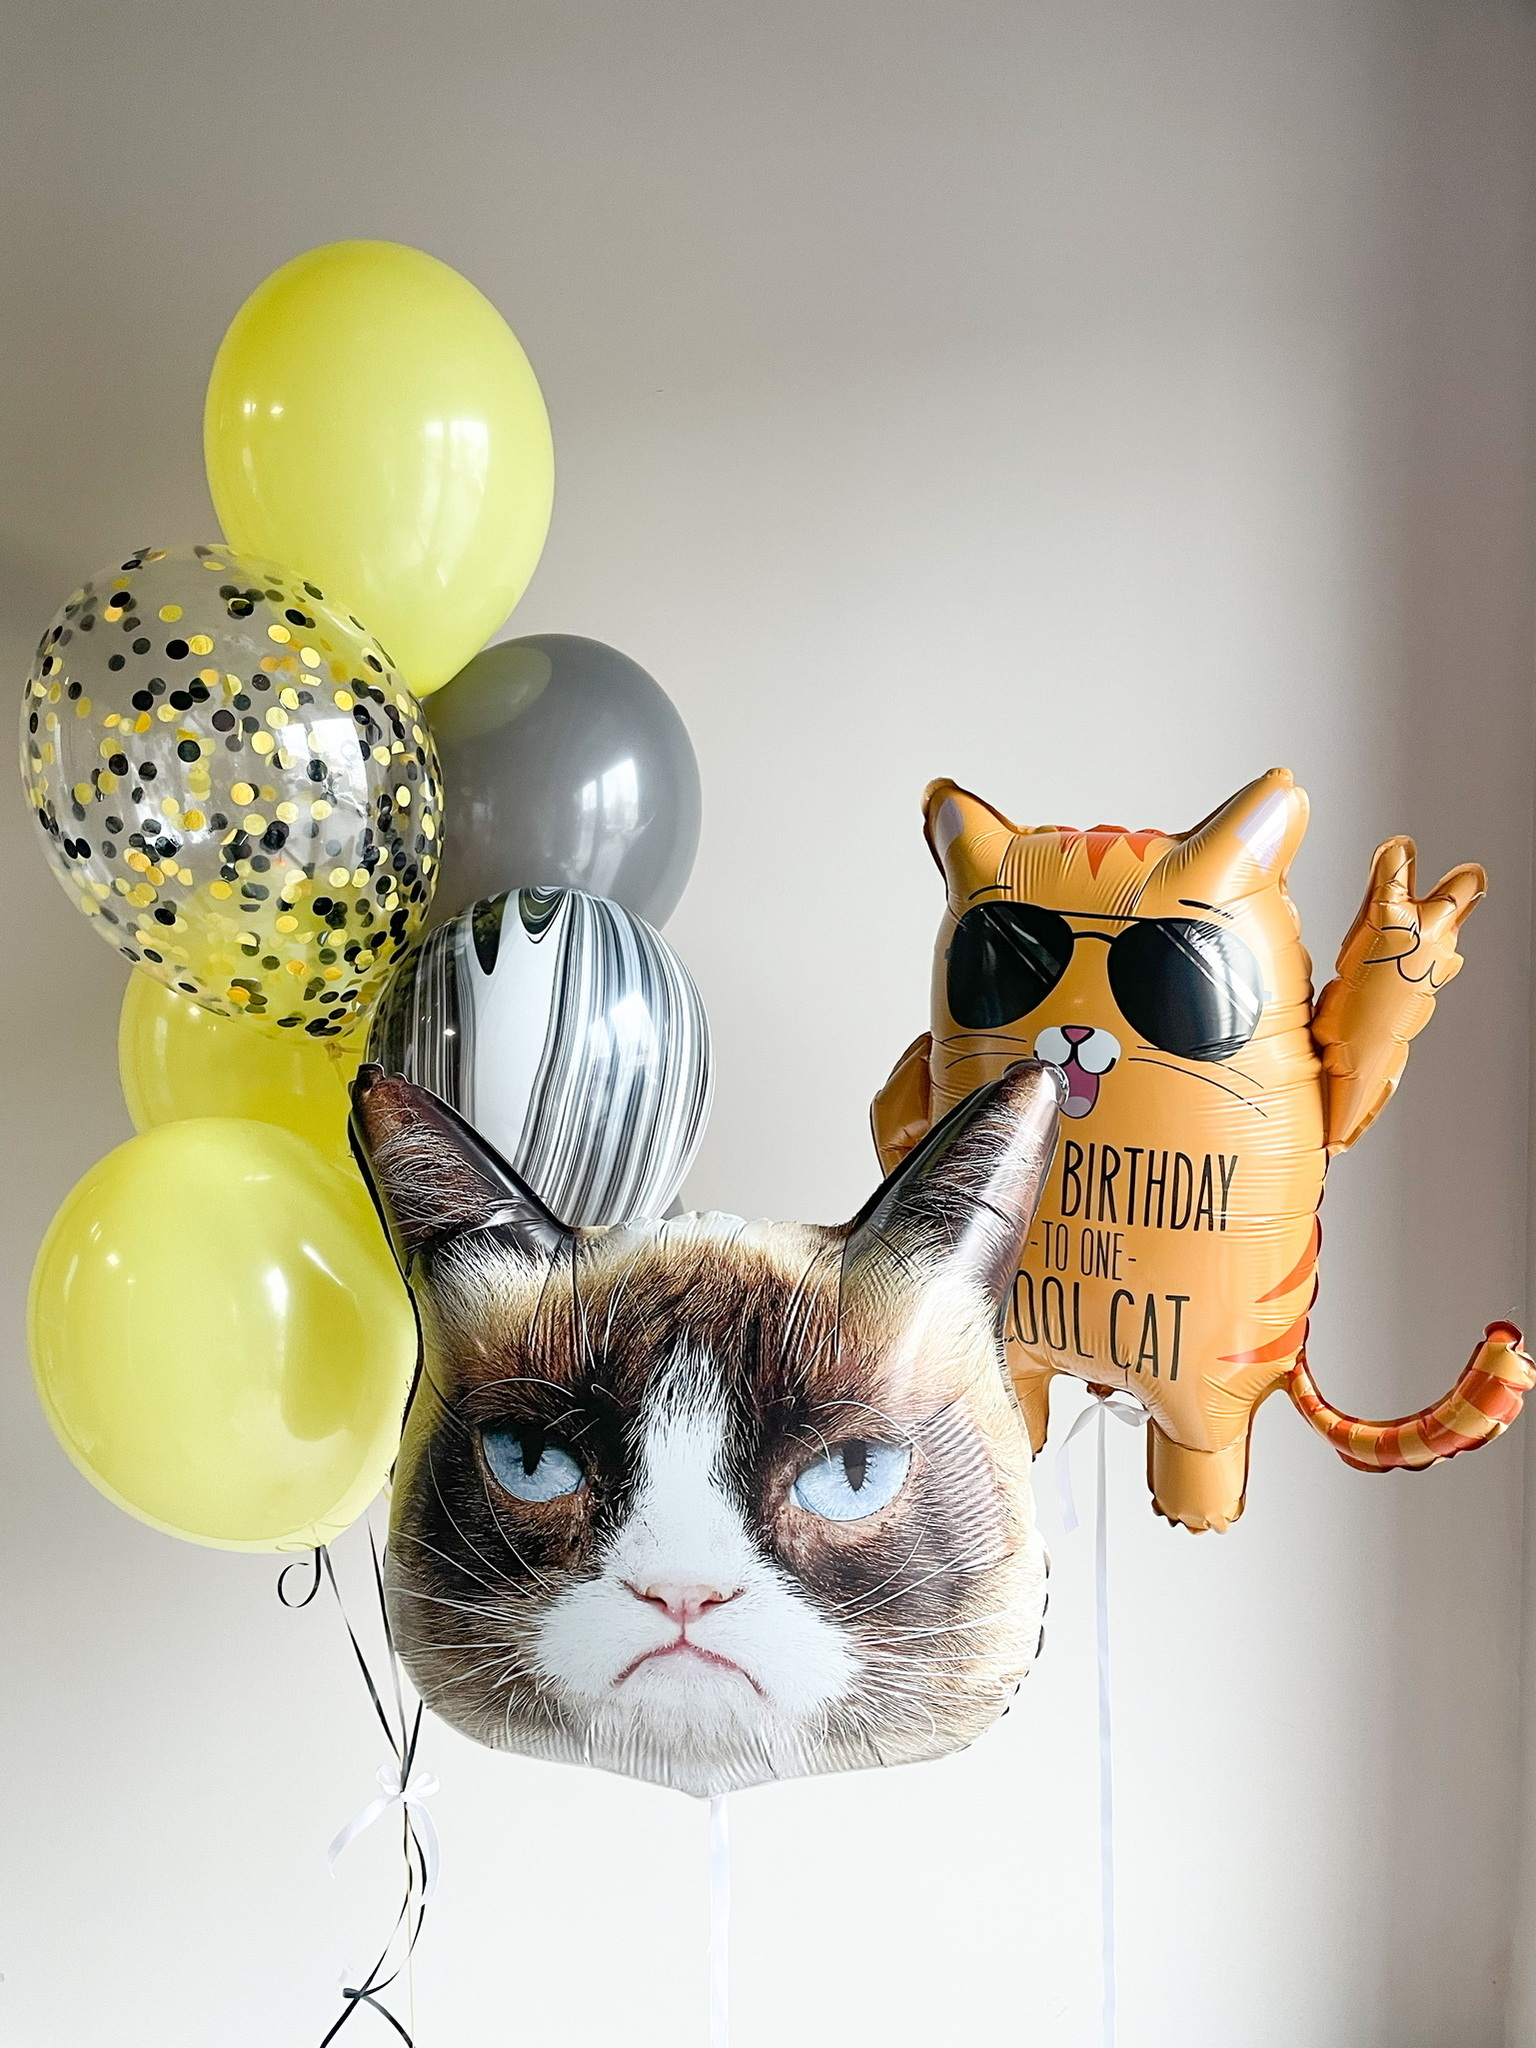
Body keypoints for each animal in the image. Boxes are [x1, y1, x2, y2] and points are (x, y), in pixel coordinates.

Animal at [873, 767, 1535, 1533]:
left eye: (1170, 975)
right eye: (1006, 961)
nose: (1074, 1028)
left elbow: (1354, 1084)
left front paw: (1407, 937)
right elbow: (901, 1120)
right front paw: (906, 1090)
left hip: (1213, 1379)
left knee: (1204, 1438)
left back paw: (1199, 1505)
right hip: (1023, 1351)